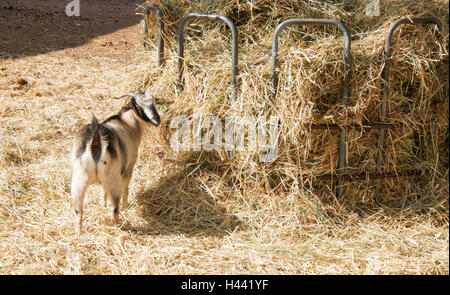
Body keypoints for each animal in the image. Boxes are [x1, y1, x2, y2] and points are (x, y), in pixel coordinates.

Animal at [70, 91, 160, 235]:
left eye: (153, 102)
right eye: (138, 105)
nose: (157, 119)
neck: (127, 124)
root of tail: (96, 137)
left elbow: (103, 191)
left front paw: (103, 205)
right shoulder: (129, 168)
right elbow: (126, 189)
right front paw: (126, 208)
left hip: (79, 179)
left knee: (78, 211)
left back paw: (78, 233)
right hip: (113, 178)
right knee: (115, 208)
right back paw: (118, 227)